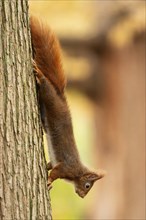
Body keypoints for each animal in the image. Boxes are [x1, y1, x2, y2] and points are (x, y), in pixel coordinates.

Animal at [30, 15, 105, 198]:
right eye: (87, 185)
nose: (82, 196)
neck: (77, 172)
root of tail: (62, 99)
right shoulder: (66, 168)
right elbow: (55, 173)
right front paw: (49, 181)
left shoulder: (57, 163)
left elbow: (50, 165)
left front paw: (46, 171)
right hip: (50, 97)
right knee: (45, 84)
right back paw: (39, 74)